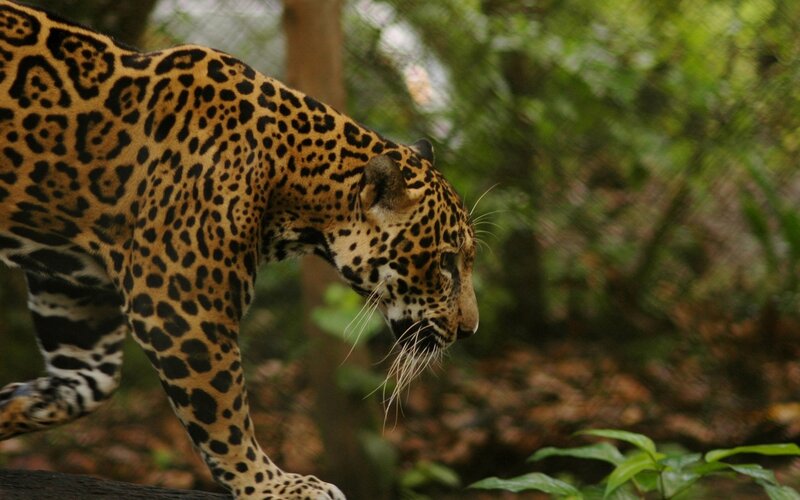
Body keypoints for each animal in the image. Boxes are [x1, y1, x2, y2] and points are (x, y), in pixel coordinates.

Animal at [0, 1, 479, 498]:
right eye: (446, 262)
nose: (470, 330)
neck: (294, 180)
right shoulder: (180, 311)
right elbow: (223, 418)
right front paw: (273, 485)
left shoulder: (74, 290)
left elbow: (87, 384)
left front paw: (16, 404)